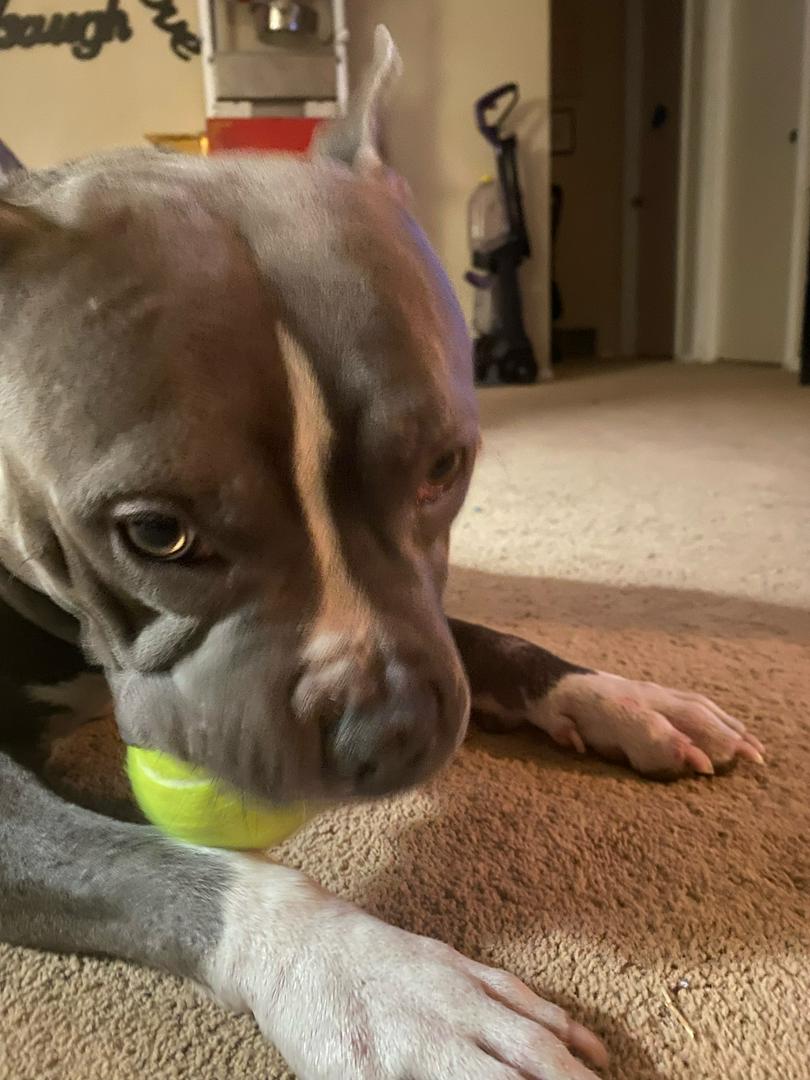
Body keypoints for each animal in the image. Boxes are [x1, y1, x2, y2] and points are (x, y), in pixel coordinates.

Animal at [0, 29, 763, 1080]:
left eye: (444, 466)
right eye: (156, 532)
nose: (392, 730)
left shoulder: (423, 618)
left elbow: (486, 639)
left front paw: (617, 695)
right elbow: (183, 870)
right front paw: (388, 990)